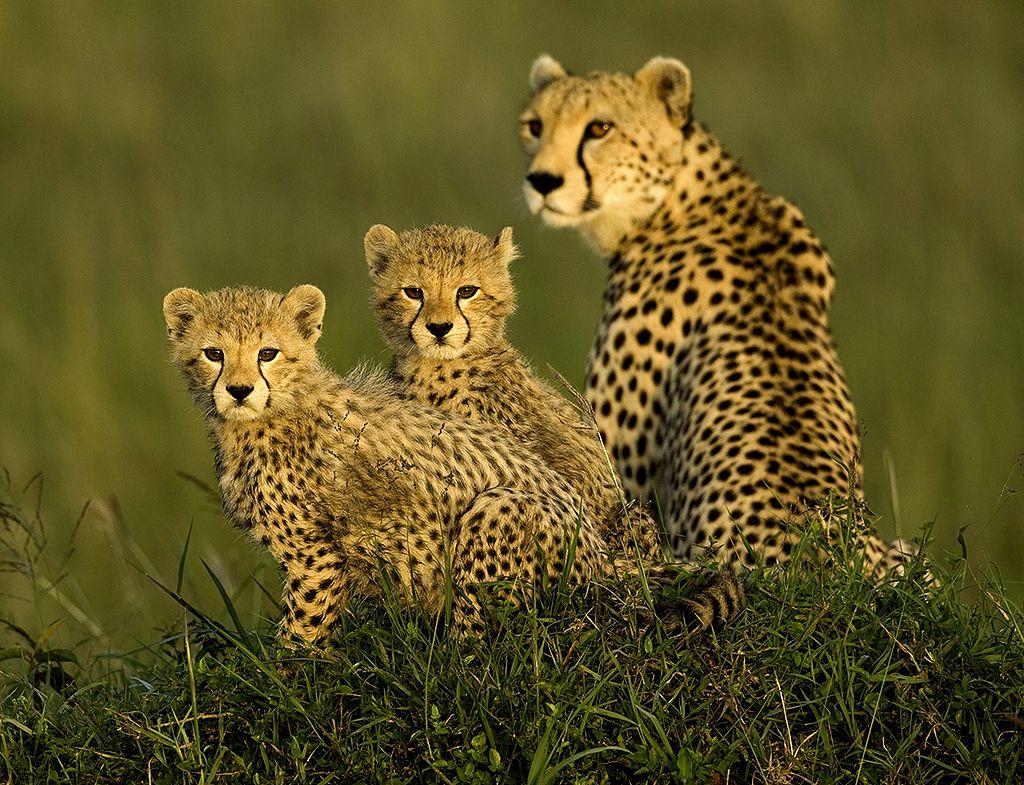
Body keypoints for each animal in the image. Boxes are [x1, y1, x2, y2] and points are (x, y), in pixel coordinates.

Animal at [163, 284, 743, 643]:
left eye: (268, 353)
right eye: (214, 353)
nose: (239, 391)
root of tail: (603, 555)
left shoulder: (316, 557)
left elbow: (302, 633)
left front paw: (291, 685)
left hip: (492, 513)